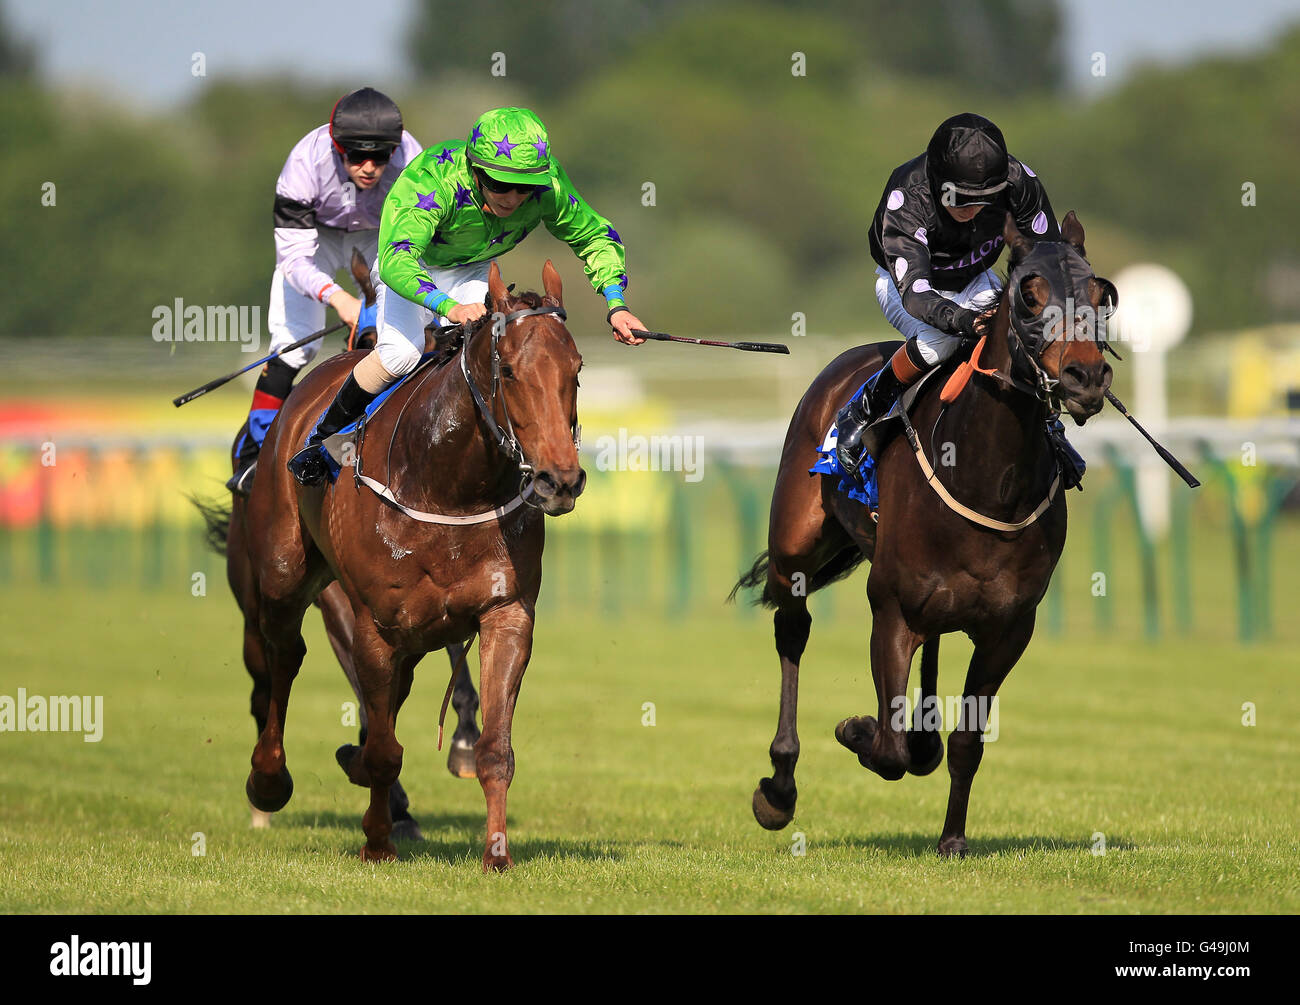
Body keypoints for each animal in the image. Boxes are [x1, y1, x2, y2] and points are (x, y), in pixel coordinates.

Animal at [217, 262, 579, 868]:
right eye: (508, 370)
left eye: (575, 370)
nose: (561, 480)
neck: (447, 483)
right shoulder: (375, 626)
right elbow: (385, 747)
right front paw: (377, 842)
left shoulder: (505, 611)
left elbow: (493, 748)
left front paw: (496, 854)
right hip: (282, 576)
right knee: (282, 660)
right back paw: (268, 781)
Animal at [733, 211, 1118, 852]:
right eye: (1030, 295)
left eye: (1100, 294)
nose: (1086, 376)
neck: (990, 479)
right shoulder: (892, 608)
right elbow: (887, 746)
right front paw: (857, 729)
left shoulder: (1009, 629)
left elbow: (965, 743)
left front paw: (952, 837)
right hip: (795, 547)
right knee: (793, 630)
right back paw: (779, 788)